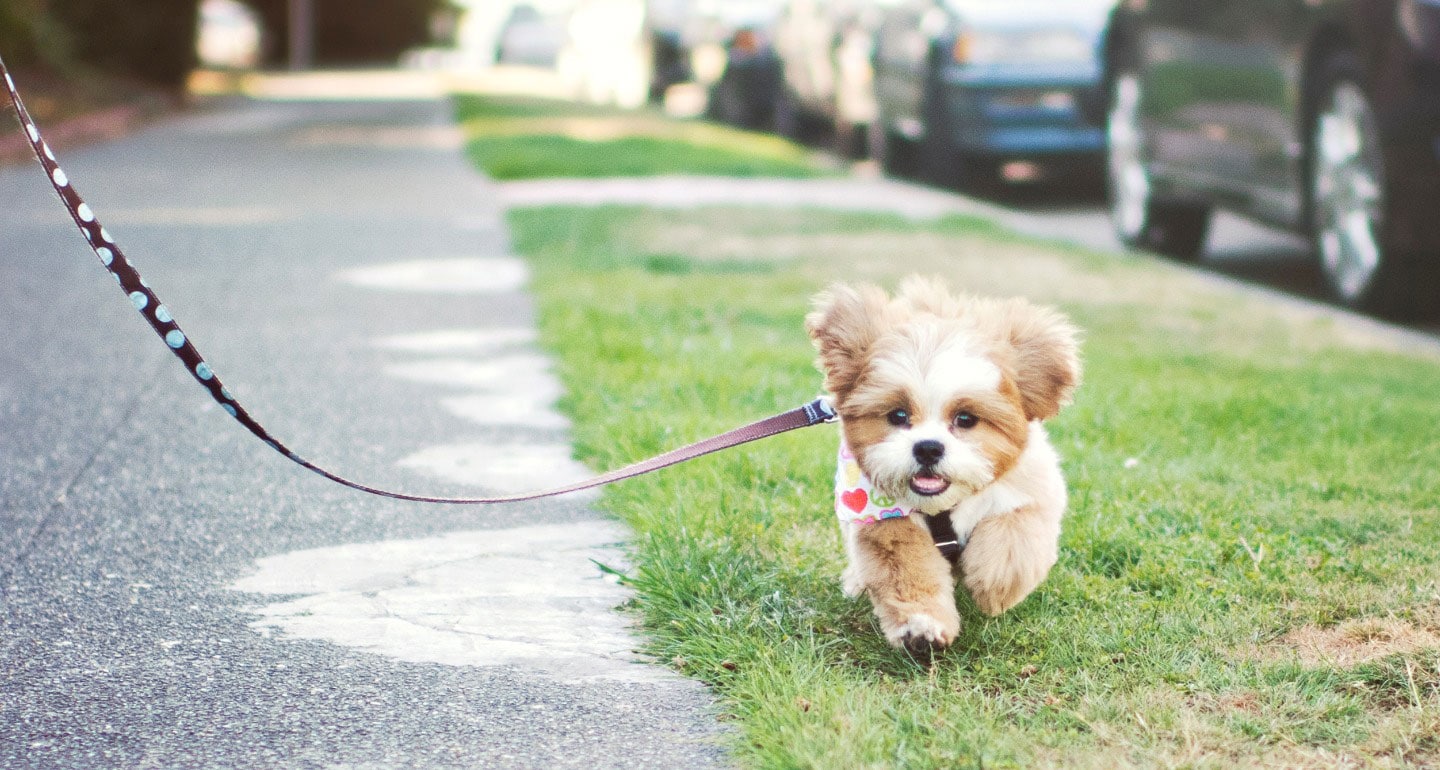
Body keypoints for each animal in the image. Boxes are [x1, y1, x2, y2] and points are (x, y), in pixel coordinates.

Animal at [806, 277, 1077, 656]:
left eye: (965, 419)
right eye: (898, 415)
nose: (928, 448)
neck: (943, 507)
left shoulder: (1027, 492)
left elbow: (1013, 537)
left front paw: (992, 586)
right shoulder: (885, 521)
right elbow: (907, 574)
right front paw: (921, 628)